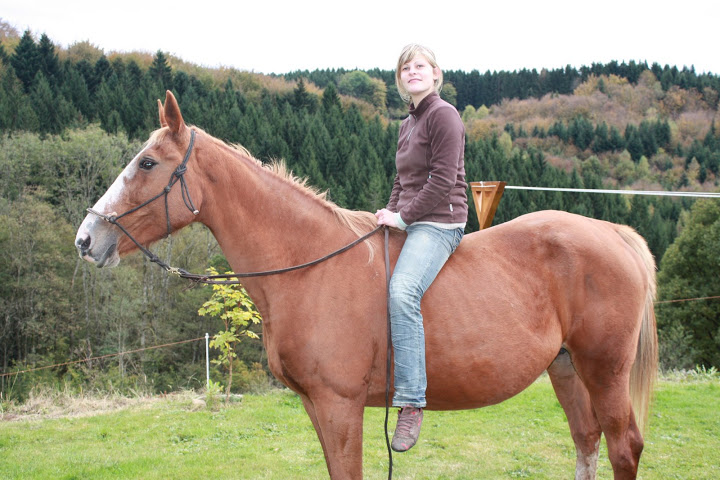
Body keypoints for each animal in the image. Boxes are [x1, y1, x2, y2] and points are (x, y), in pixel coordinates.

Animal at [76, 92, 656, 478]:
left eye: (147, 163)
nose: (86, 238)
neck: (308, 265)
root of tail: (612, 234)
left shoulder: (340, 405)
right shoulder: (316, 406)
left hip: (604, 369)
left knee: (623, 446)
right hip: (566, 367)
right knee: (586, 442)